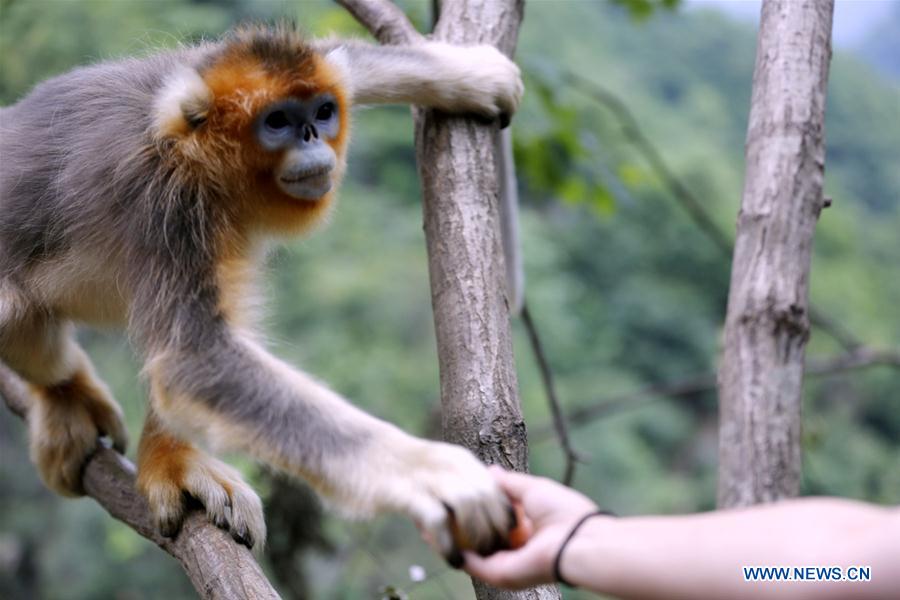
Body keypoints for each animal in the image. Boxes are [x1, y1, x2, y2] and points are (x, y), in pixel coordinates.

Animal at [0, 24, 524, 564]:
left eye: (322, 112)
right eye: (277, 122)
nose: (313, 137)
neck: (191, 152)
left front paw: (468, 72)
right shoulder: (165, 203)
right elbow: (195, 358)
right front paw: (430, 472)